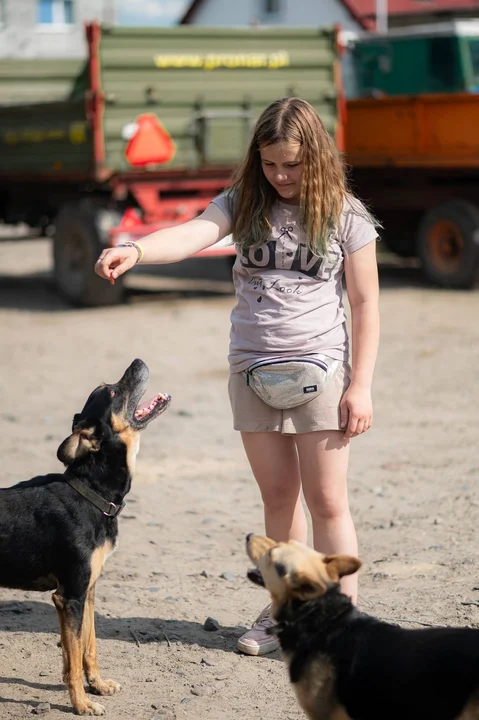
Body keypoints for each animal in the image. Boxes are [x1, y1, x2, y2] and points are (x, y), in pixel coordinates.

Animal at [0, 360, 172, 716]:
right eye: (112, 392)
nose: (138, 360)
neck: (92, 492)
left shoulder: (88, 591)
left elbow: (85, 649)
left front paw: (98, 685)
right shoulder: (70, 596)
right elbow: (75, 654)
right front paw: (81, 704)